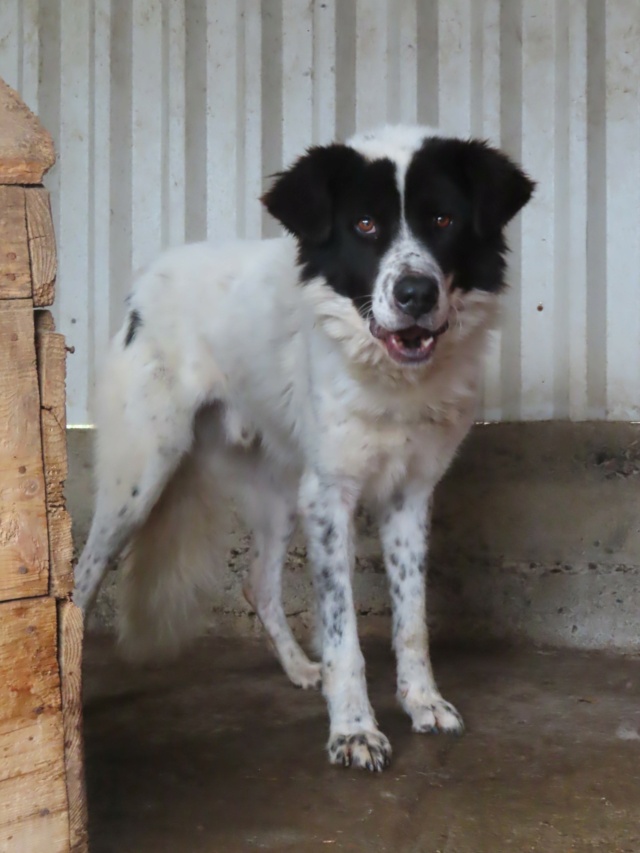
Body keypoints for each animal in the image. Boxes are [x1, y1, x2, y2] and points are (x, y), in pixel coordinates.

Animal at [74, 125, 536, 772]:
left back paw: (298, 669)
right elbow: (344, 631)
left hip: (281, 493)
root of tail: (145, 283)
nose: (415, 294)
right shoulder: (331, 496)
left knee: (259, 584)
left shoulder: (409, 495)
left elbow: (411, 620)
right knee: (82, 577)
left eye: (443, 219)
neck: (390, 376)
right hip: (140, 477)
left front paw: (422, 701)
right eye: (365, 225)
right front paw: (354, 730)